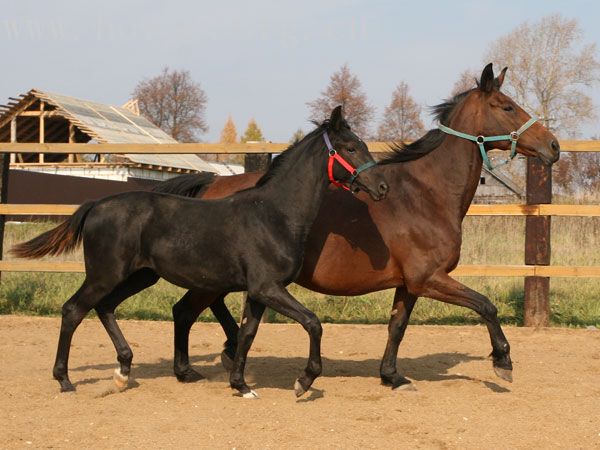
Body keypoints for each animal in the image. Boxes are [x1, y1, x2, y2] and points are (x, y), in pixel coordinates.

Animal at [15, 106, 390, 398]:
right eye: (350, 147)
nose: (382, 187)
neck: (274, 214)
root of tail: (96, 204)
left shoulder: (260, 291)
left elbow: (248, 334)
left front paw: (241, 385)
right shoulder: (267, 288)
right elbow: (313, 323)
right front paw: (304, 381)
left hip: (140, 276)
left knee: (105, 307)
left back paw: (123, 371)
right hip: (105, 274)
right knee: (74, 310)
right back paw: (65, 380)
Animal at [152, 63, 560, 390]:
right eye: (507, 106)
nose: (553, 146)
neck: (425, 193)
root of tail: (209, 183)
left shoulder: (409, 284)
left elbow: (397, 327)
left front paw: (392, 376)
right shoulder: (429, 278)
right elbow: (486, 306)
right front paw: (503, 362)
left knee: (194, 310)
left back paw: (209, 360)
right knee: (187, 310)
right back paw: (206, 362)